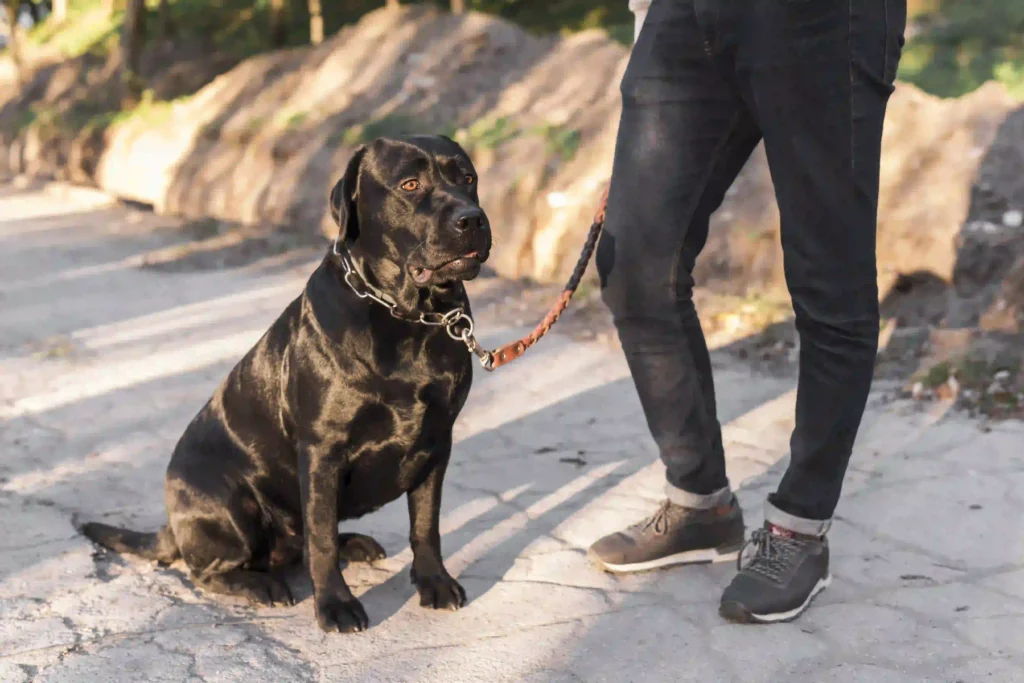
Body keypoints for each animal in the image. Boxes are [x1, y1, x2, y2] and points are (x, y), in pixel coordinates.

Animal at [81, 135, 489, 634]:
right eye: (410, 184)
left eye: (467, 178)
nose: (471, 218)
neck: (408, 317)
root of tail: (171, 524)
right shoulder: (322, 451)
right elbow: (322, 539)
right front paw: (335, 604)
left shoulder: (437, 441)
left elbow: (425, 524)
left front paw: (434, 582)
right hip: (230, 503)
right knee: (211, 569)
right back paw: (261, 585)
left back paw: (353, 543)